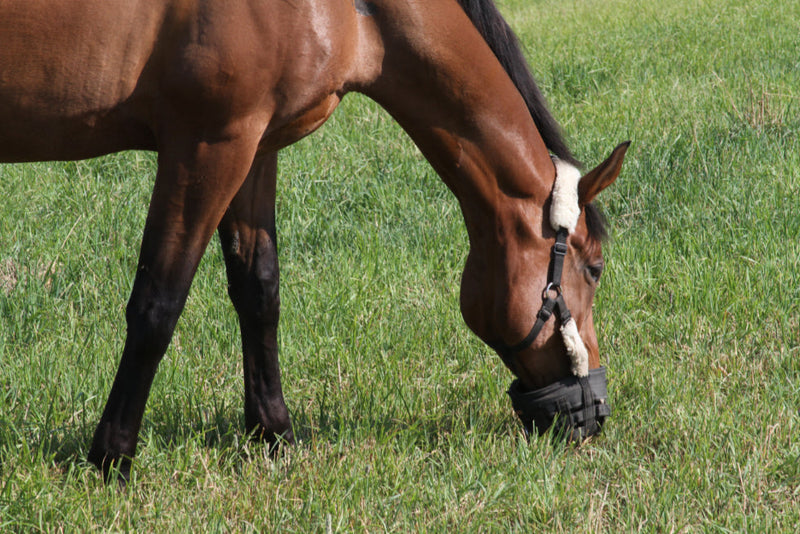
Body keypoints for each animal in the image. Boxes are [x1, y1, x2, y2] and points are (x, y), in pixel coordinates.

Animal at [0, 0, 628, 481]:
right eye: (594, 267)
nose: (593, 412)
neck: (357, 12)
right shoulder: (205, 146)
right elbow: (158, 304)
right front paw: (111, 460)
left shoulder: (254, 147)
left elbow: (258, 292)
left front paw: (272, 435)